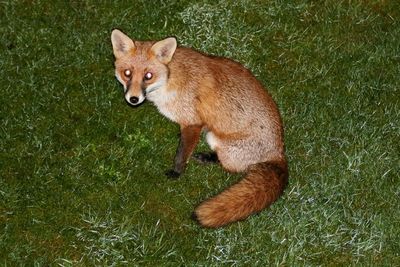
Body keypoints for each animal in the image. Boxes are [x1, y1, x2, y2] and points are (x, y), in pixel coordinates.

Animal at [111, 30, 288, 229]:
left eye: (148, 76)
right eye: (127, 73)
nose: (133, 99)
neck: (170, 79)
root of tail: (279, 153)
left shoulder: (193, 123)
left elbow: (181, 154)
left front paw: (176, 172)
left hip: (216, 138)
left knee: (233, 166)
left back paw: (206, 157)